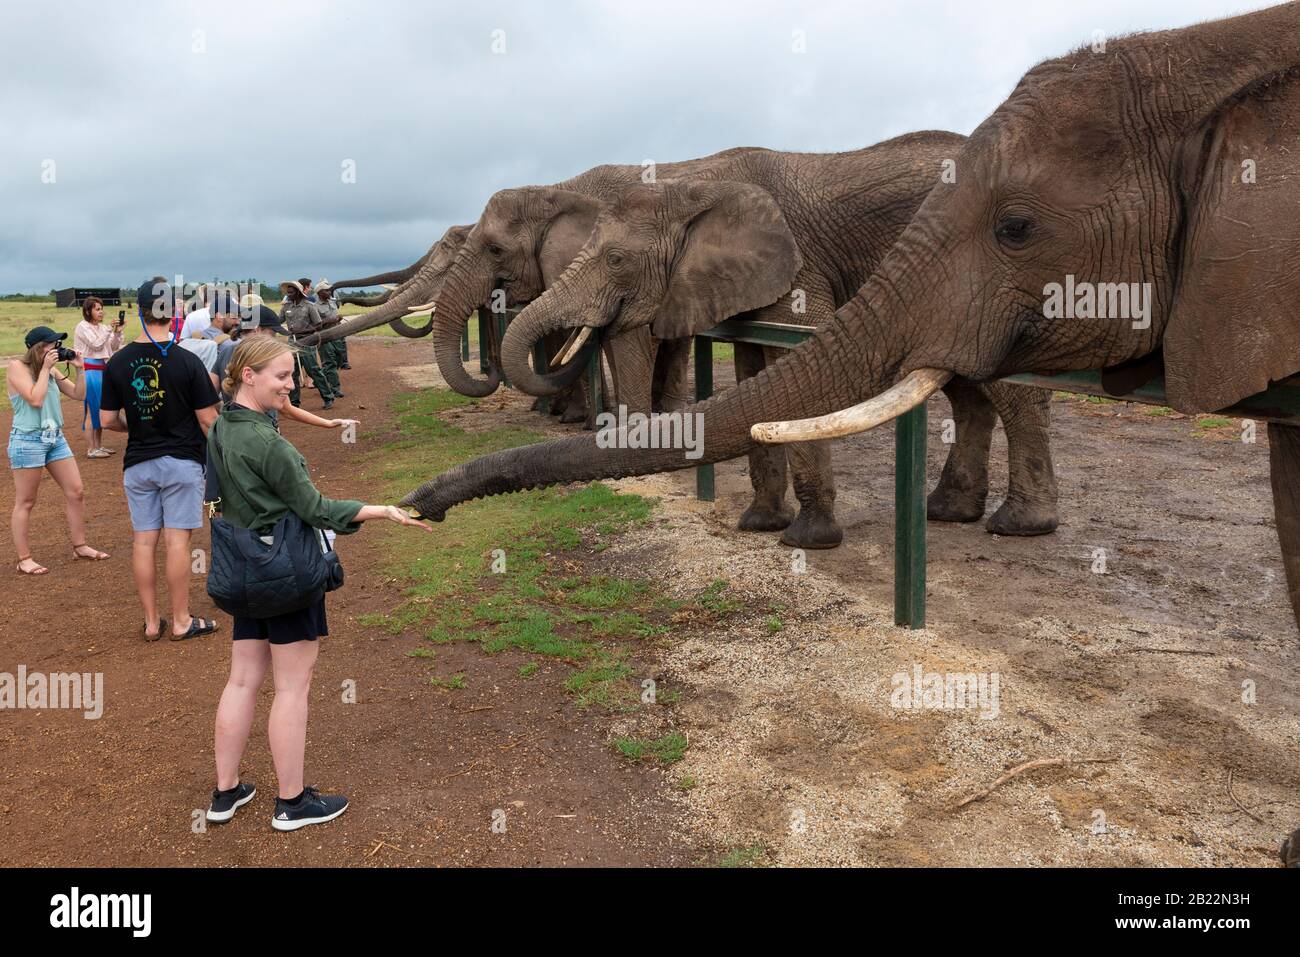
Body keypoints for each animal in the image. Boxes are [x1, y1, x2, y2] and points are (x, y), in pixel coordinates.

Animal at [496, 138, 1055, 548]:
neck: (697, 184)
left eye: (615, 260)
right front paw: (760, 524)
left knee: (1010, 391)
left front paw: (808, 541)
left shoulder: (799, 267)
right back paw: (949, 512)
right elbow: (753, 369)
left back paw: (1022, 525)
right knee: (966, 393)